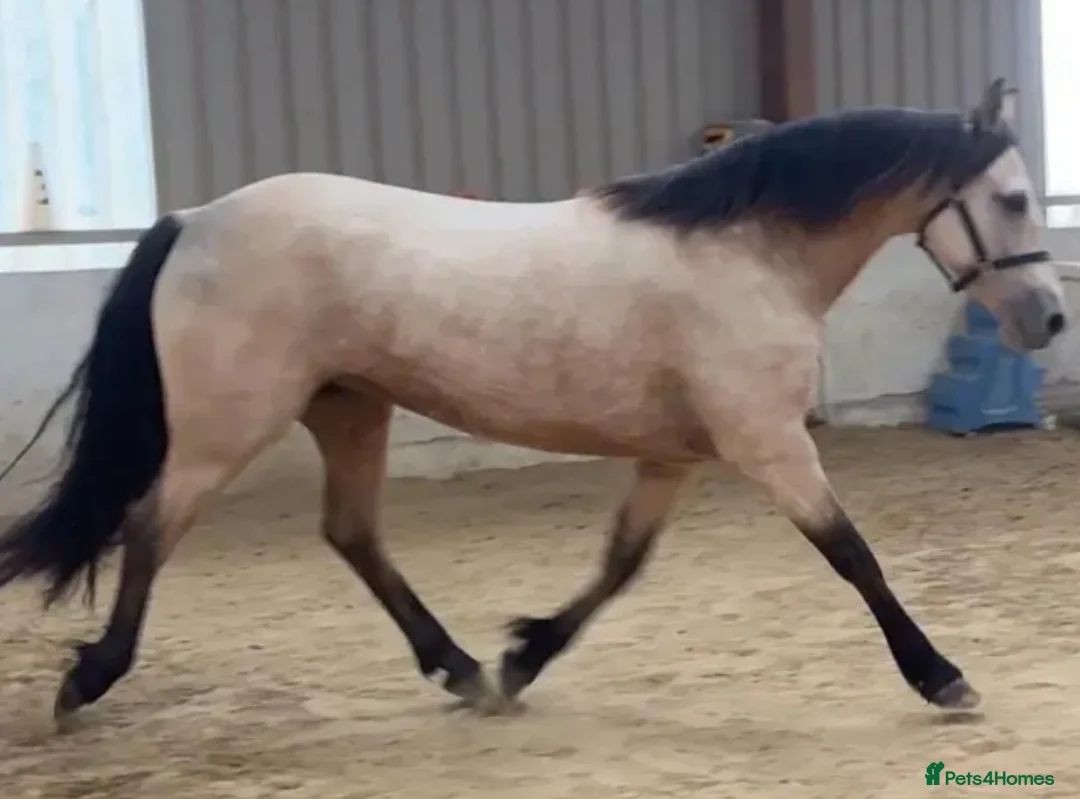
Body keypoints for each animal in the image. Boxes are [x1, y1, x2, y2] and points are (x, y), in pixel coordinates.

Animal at [0, 78, 1066, 727]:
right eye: (1014, 199)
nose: (1050, 318)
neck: (747, 252)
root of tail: (193, 219)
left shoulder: (677, 454)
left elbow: (620, 564)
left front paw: (523, 659)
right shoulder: (768, 444)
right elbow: (854, 556)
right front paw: (942, 676)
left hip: (348, 407)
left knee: (353, 533)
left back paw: (463, 670)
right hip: (228, 426)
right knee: (150, 526)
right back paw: (86, 679)